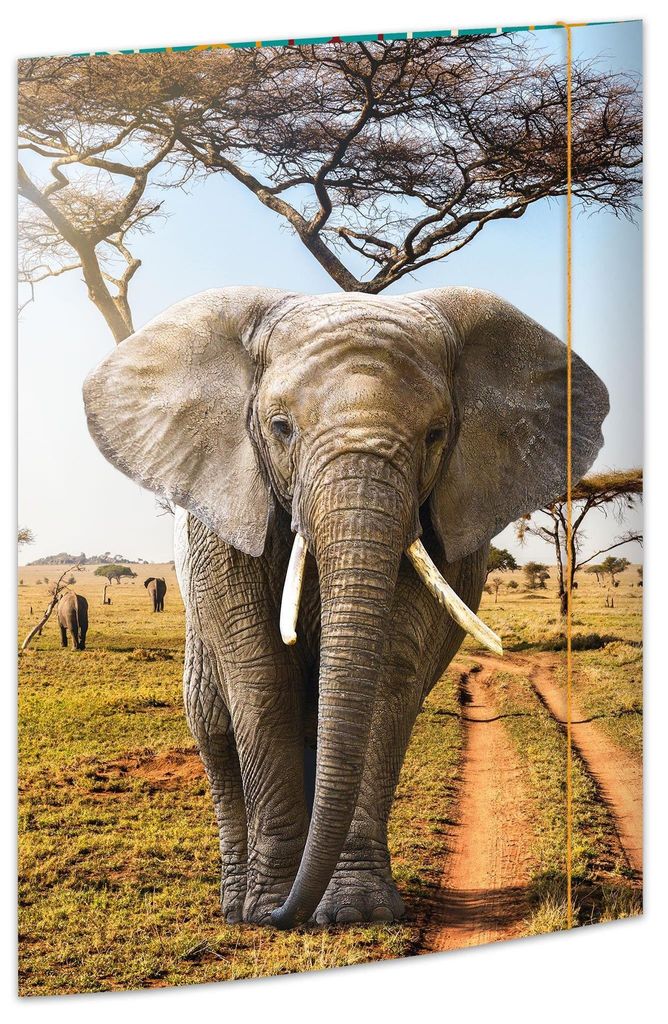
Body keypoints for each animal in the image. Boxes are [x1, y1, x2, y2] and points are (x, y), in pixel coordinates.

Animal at [83, 286, 608, 929]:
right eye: (280, 427)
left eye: (436, 434)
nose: (284, 914)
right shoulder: (222, 521)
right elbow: (261, 678)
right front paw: (268, 909)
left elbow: (385, 677)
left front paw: (356, 913)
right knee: (213, 723)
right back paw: (237, 905)